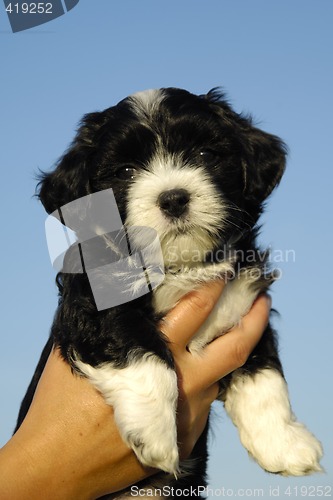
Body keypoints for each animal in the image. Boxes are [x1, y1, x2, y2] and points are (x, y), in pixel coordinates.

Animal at [15, 89, 322, 496]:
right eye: (125, 172)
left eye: (205, 155)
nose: (174, 198)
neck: (181, 268)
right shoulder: (94, 304)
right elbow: (141, 349)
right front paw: (155, 433)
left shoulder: (242, 303)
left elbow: (264, 371)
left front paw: (284, 442)